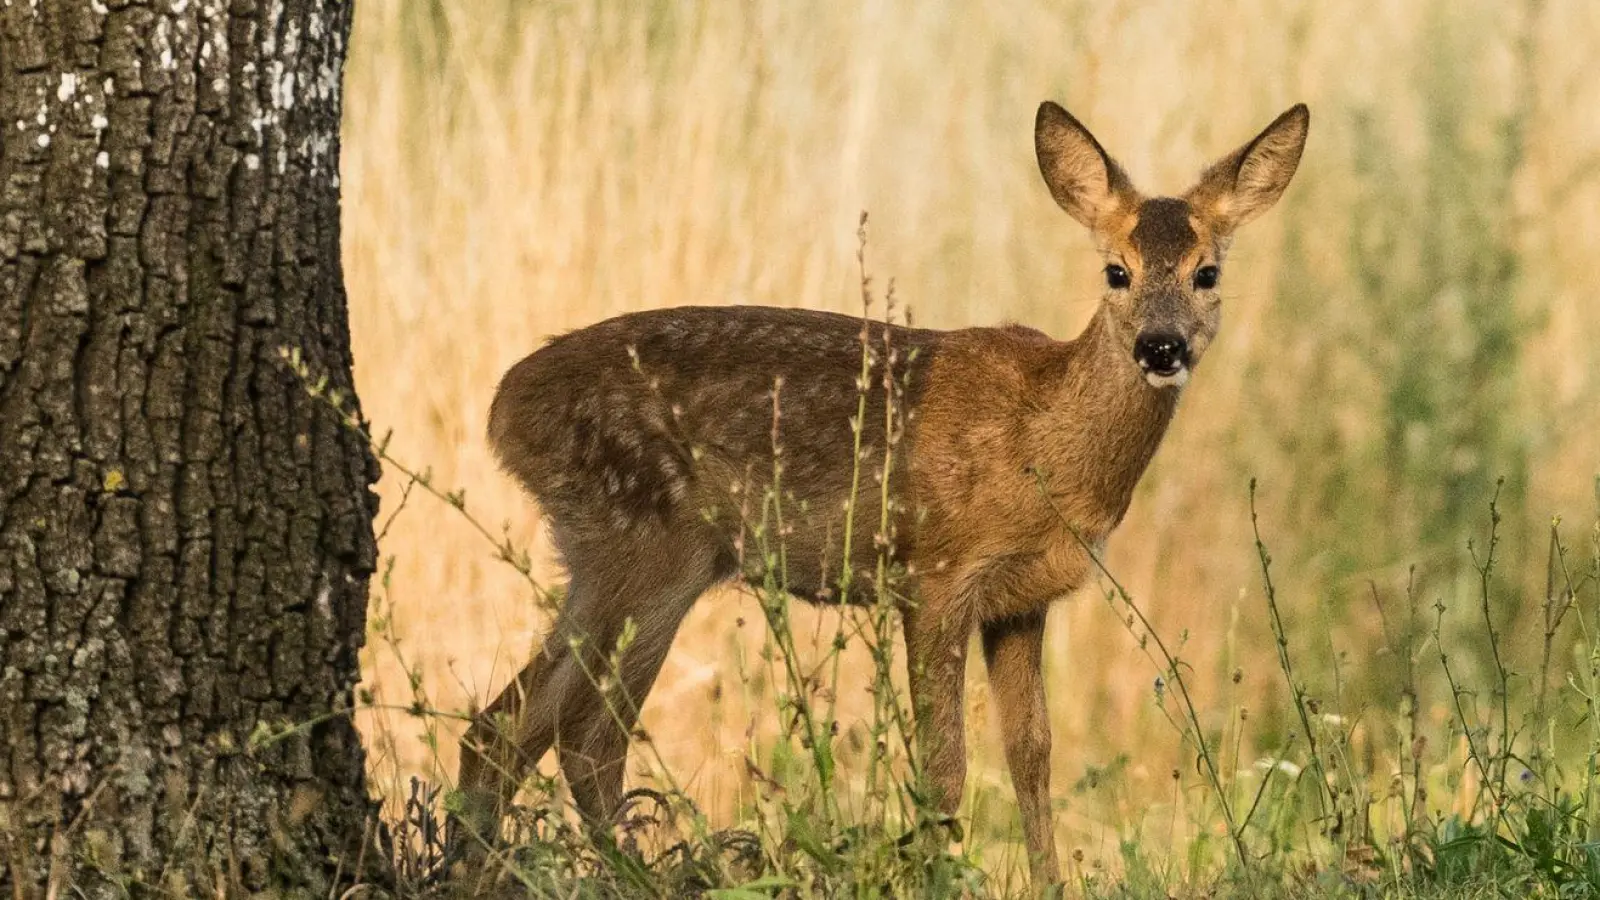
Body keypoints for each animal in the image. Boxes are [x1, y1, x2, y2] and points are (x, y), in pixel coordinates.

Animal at [457, 99, 1305, 883]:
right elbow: (944, 769)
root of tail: (506, 409)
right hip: (647, 549)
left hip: (605, 560)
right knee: (584, 737)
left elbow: (1032, 756)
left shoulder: (1021, 599)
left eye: (1207, 273)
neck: (1045, 443)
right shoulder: (934, 574)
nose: (1160, 346)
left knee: (505, 730)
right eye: (1115, 271)